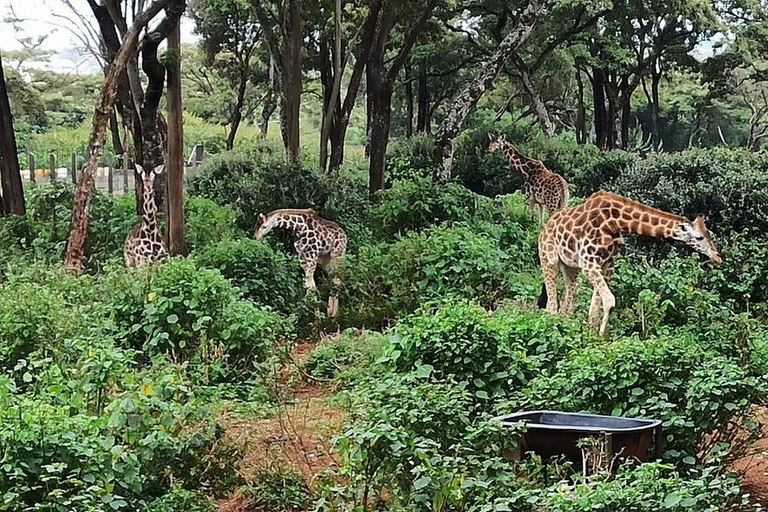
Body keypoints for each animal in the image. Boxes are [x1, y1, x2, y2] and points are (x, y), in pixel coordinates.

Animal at [536, 190, 724, 338]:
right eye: (699, 237)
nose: (718, 258)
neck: (617, 222)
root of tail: (545, 228)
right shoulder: (589, 262)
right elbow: (609, 300)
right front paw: (600, 339)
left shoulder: (607, 265)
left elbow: (595, 308)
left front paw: (591, 335)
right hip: (549, 258)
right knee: (552, 303)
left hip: (570, 267)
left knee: (567, 299)